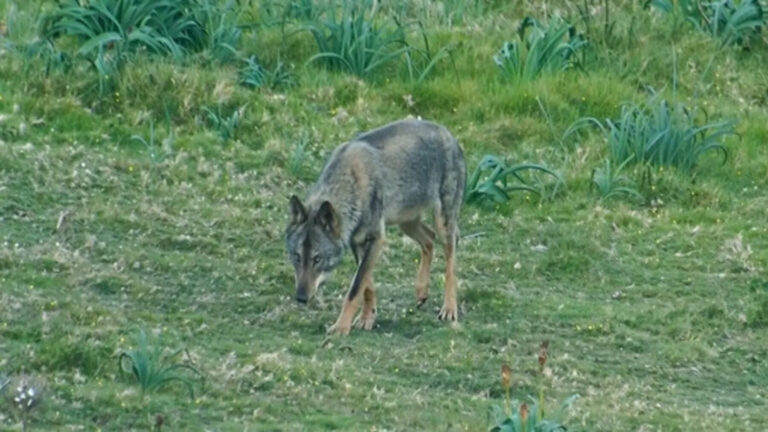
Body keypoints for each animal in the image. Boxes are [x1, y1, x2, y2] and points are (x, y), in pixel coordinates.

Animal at [285, 118, 466, 335]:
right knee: (429, 240)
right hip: (407, 223)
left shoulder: (377, 238)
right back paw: (421, 291)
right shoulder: (358, 243)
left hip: (442, 224)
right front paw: (367, 319)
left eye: (317, 258)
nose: (301, 298)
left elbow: (355, 289)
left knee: (451, 261)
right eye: (297, 257)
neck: (351, 184)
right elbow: (367, 286)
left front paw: (341, 327)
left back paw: (449, 309)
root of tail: (450, 135)